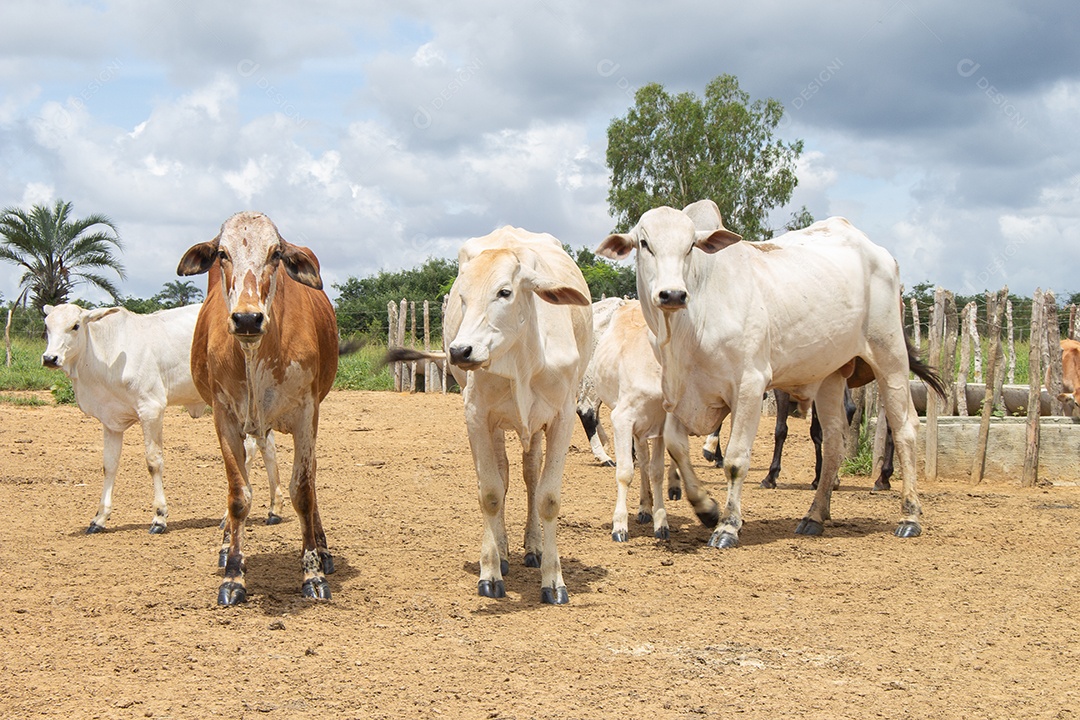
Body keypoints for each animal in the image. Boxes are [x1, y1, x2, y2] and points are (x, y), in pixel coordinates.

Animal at [41, 302, 280, 533]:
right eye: (47, 326)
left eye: (75, 326)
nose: (50, 358)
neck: (106, 353)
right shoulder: (111, 422)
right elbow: (109, 465)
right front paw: (99, 519)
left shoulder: (151, 410)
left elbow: (153, 462)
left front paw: (159, 517)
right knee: (267, 446)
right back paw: (274, 509)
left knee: (248, 451)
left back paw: (228, 516)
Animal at [177, 211, 336, 604]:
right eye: (222, 253)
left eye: (276, 253)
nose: (247, 318)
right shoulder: (224, 418)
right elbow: (238, 495)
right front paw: (234, 574)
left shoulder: (307, 415)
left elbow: (304, 491)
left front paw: (312, 572)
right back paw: (225, 546)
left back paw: (323, 549)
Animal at [386, 226, 591, 604]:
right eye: (463, 298)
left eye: (504, 292)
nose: (460, 351)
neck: (524, 357)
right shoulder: (477, 416)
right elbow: (491, 493)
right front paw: (491, 571)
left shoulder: (563, 417)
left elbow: (548, 497)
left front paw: (553, 580)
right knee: (504, 475)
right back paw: (505, 551)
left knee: (529, 475)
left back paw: (533, 546)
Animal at [600, 201, 946, 546]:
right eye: (645, 243)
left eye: (689, 247)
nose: (672, 295)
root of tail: (880, 253)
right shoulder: (681, 393)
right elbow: (676, 446)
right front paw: (706, 507)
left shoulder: (750, 385)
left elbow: (736, 460)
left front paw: (727, 525)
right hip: (831, 376)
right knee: (834, 441)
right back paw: (814, 516)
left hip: (890, 357)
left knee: (904, 429)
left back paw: (909, 516)